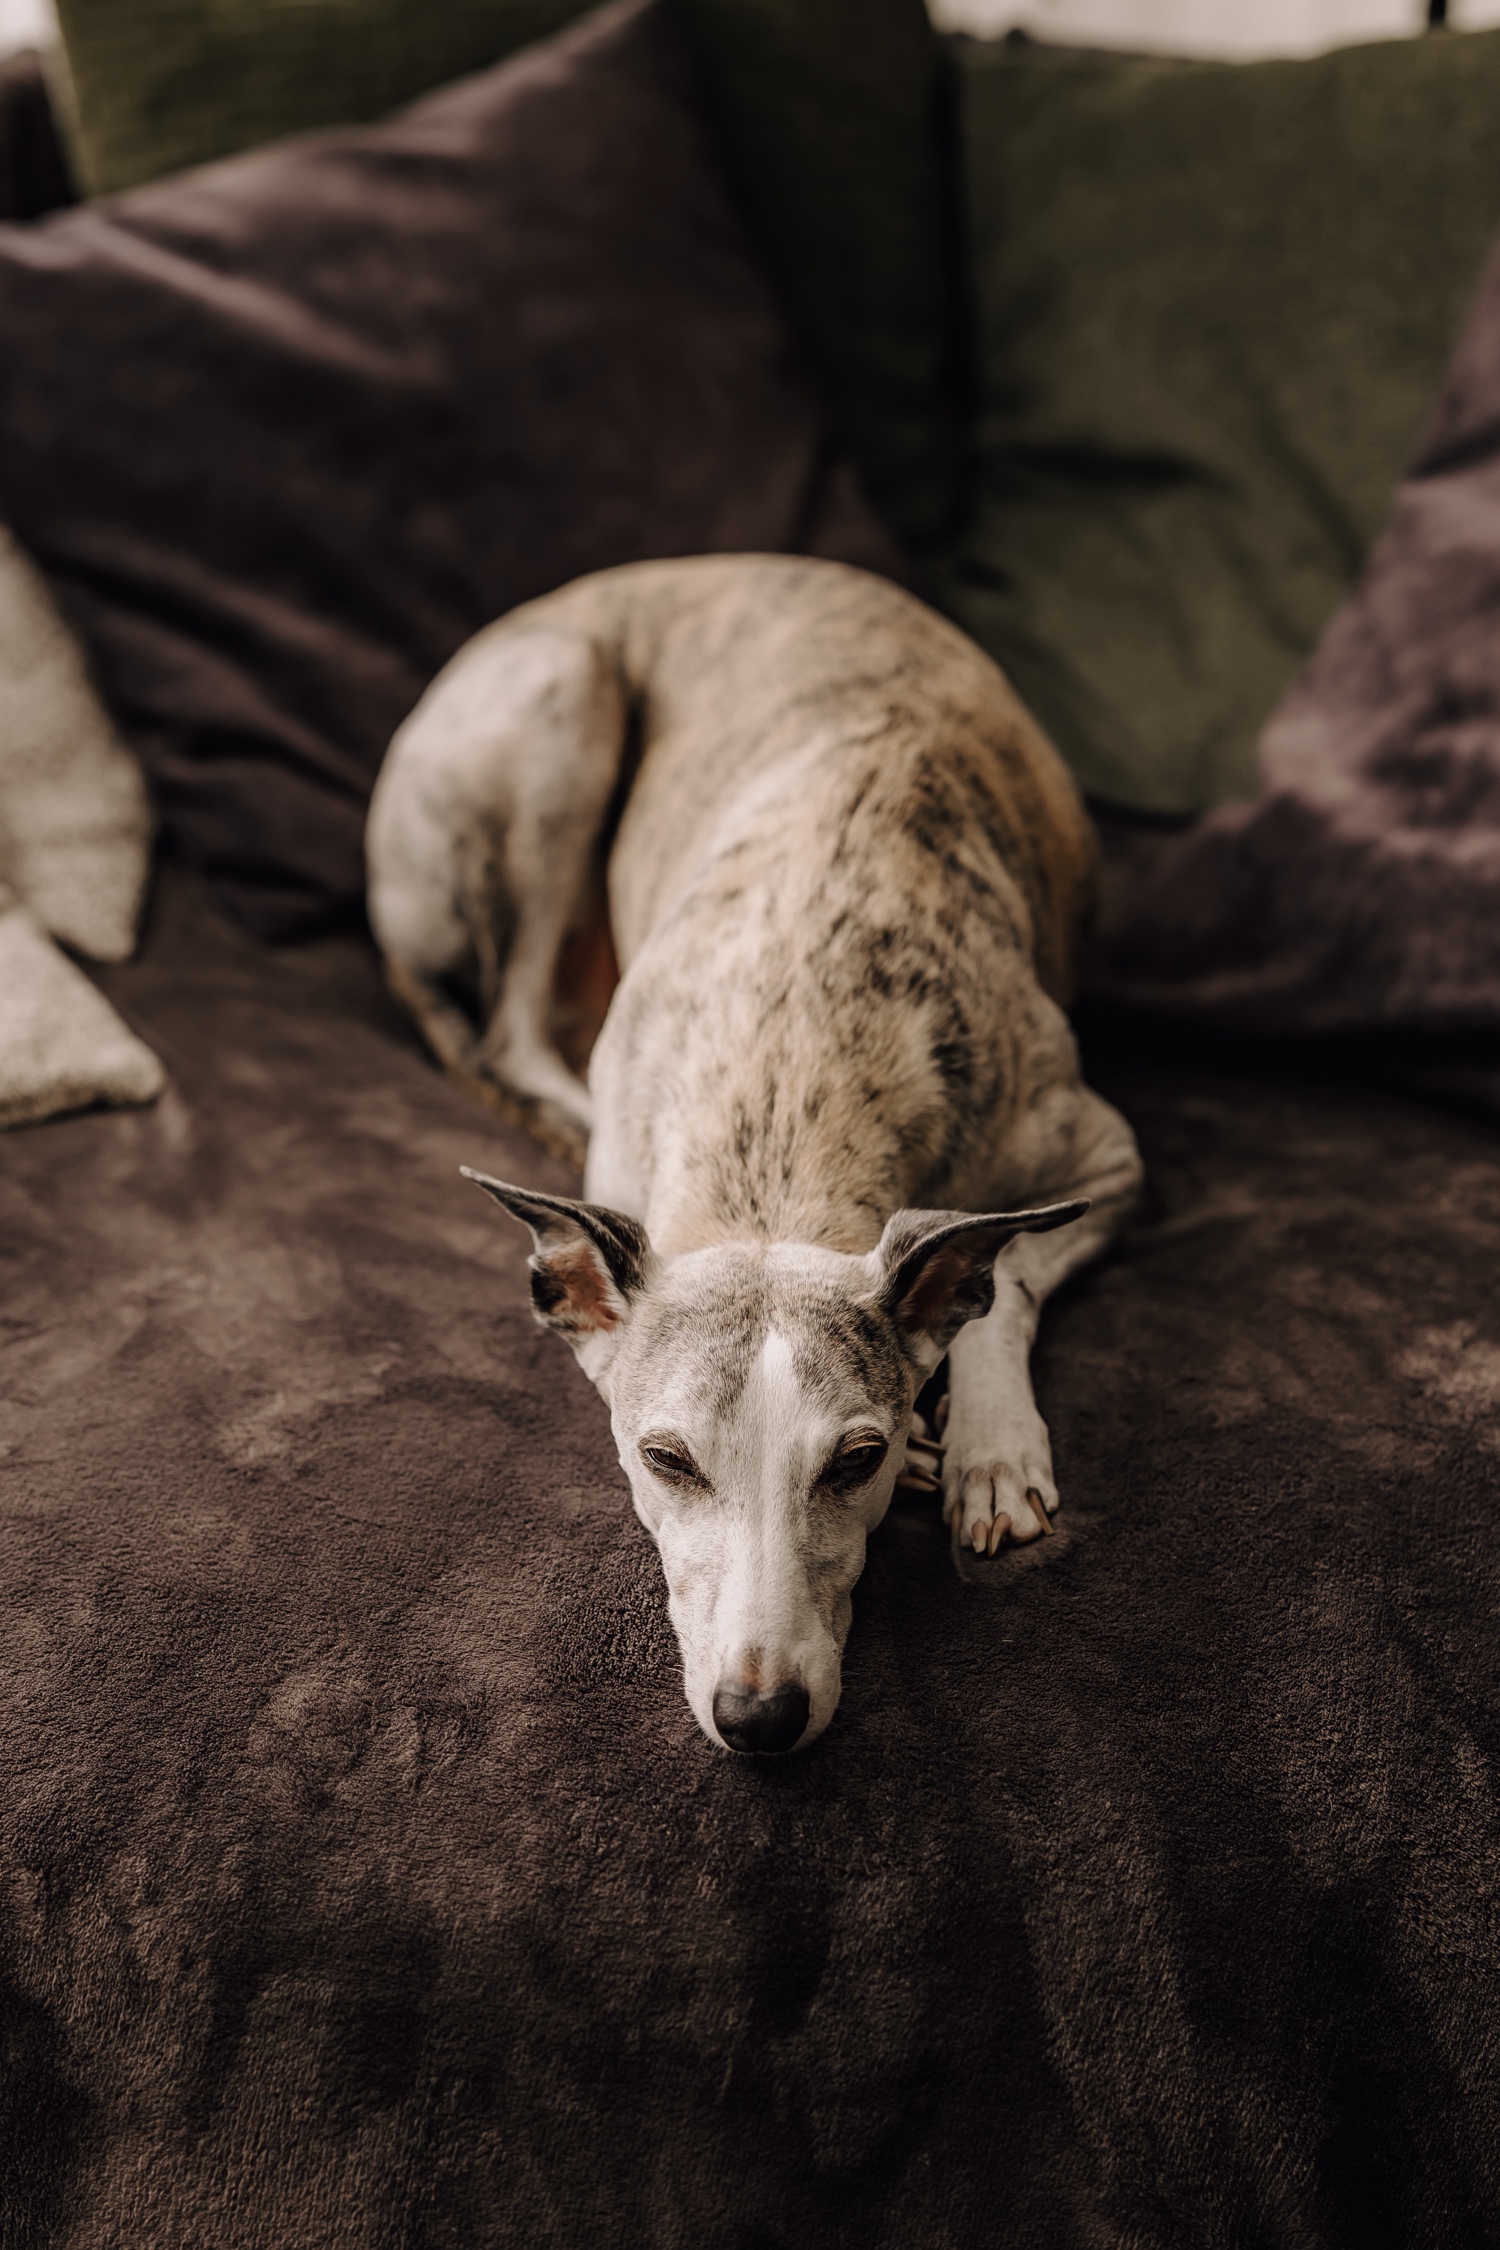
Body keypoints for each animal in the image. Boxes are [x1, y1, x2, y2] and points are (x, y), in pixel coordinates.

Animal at [364, 558, 1137, 1755]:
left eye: (856, 1460)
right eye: (665, 1460)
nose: (760, 1718)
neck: (790, 1061)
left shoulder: (1103, 1154)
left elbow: (1000, 1282)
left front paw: (988, 1449)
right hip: (560, 700)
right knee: (509, 1029)